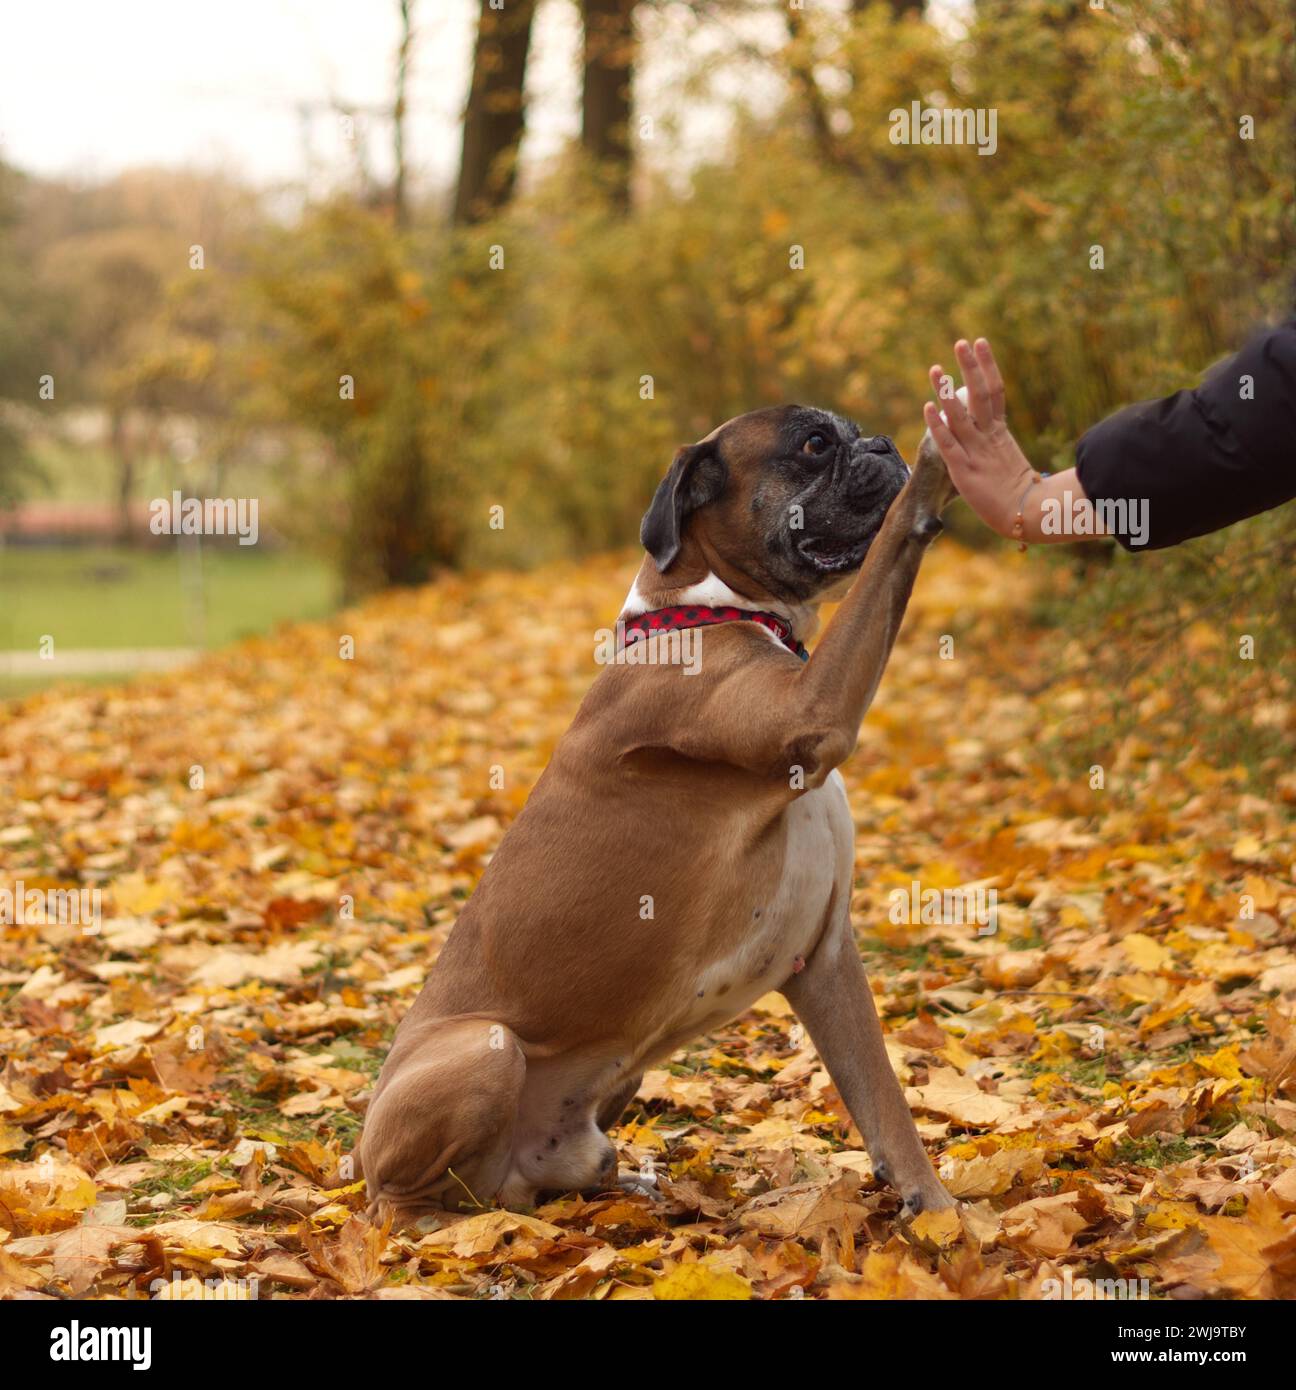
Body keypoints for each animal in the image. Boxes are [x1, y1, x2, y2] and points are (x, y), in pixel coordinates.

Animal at [358, 405, 956, 1228]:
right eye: (813, 444)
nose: (882, 444)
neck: (702, 609)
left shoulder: (826, 958)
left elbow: (884, 1101)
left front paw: (941, 1214)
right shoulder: (812, 709)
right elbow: (893, 544)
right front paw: (941, 455)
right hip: (484, 1049)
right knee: (402, 1204)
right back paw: (449, 1228)